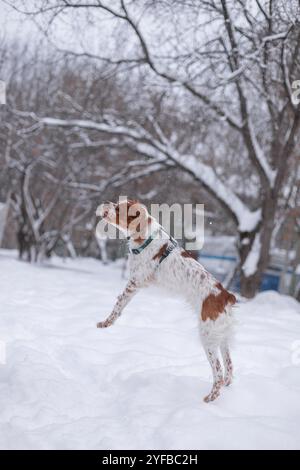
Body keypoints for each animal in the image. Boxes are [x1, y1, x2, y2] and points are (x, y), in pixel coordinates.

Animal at [97, 200, 236, 402]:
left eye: (118, 208)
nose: (107, 202)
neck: (146, 238)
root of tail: (225, 295)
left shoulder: (135, 282)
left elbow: (118, 305)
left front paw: (106, 323)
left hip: (208, 338)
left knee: (217, 372)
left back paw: (210, 397)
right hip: (222, 337)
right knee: (230, 366)